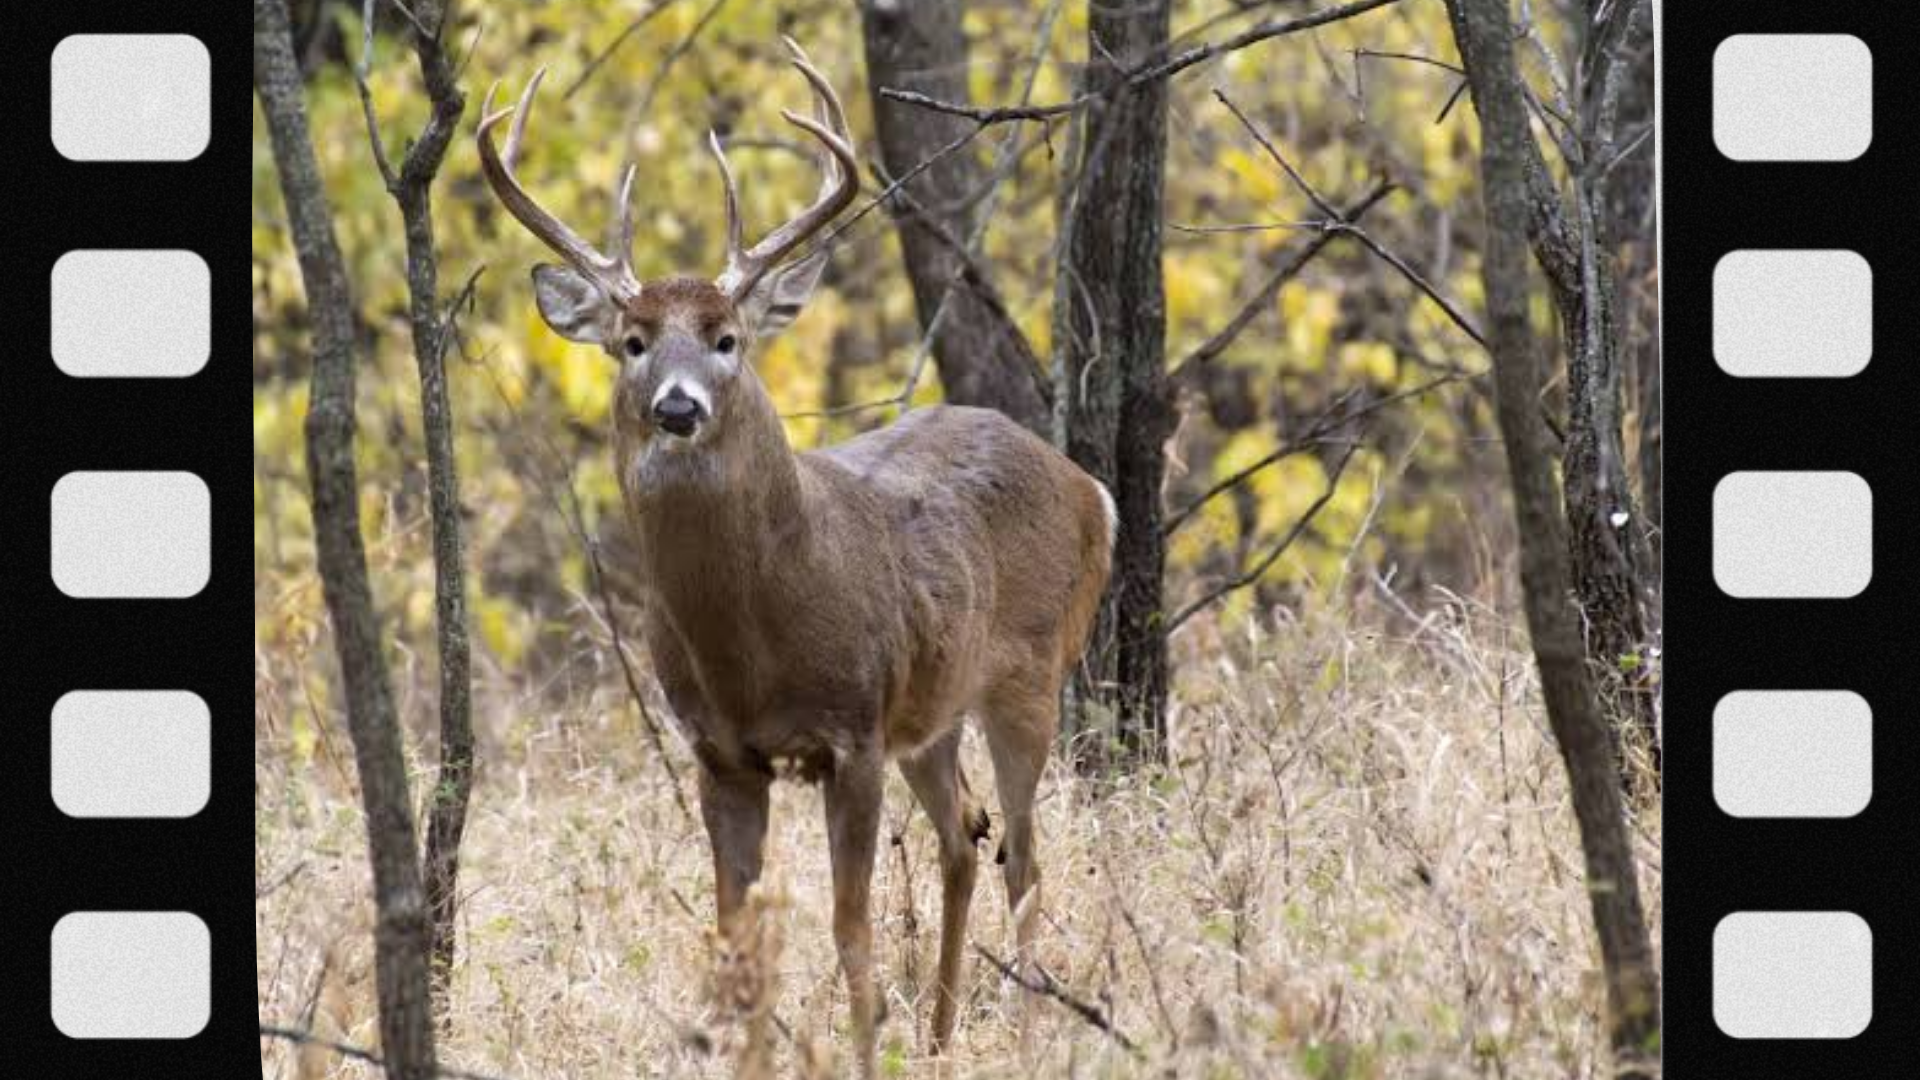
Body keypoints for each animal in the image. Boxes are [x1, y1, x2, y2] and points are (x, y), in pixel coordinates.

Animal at [475, 40, 1114, 1075]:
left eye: (728, 338)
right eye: (632, 341)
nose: (679, 406)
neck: (755, 642)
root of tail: (1090, 488)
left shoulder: (850, 733)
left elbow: (851, 927)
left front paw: (862, 1049)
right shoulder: (722, 753)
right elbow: (737, 937)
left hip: (1031, 676)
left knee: (1024, 853)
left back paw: (1020, 1035)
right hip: (929, 712)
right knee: (965, 837)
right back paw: (941, 1033)